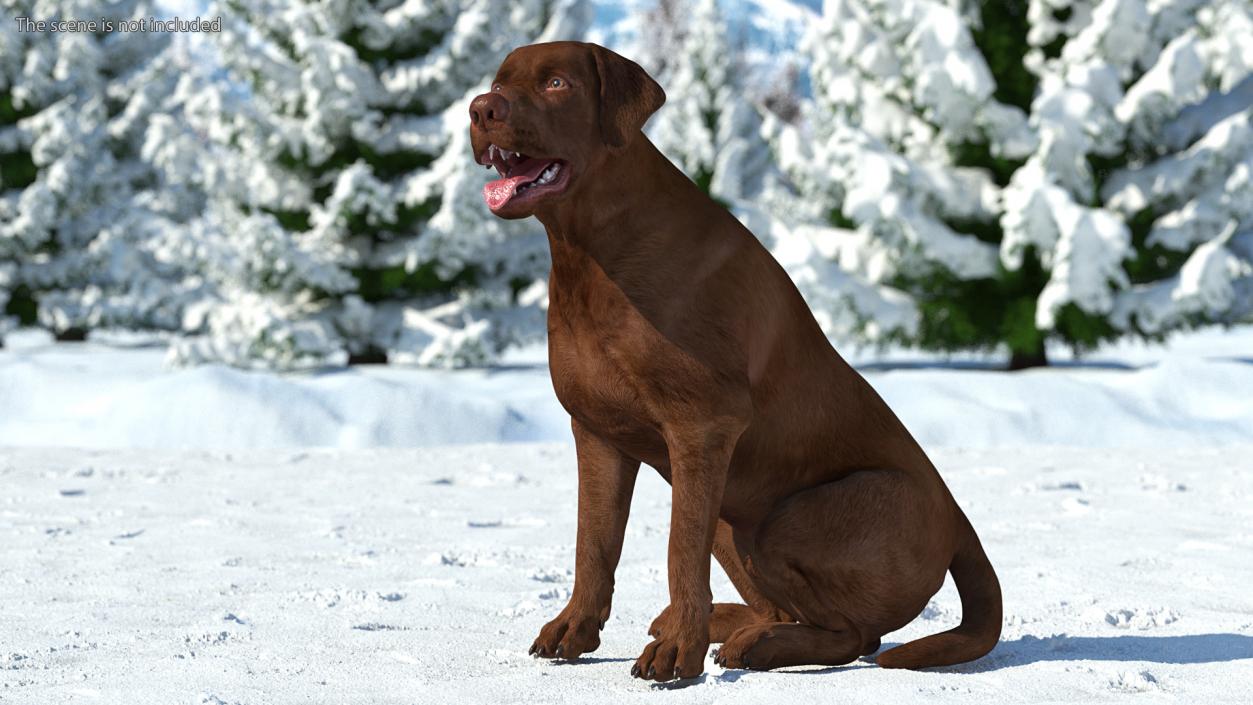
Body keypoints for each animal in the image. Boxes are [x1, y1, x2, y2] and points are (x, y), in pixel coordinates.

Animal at [466, 41, 1002, 681]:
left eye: (555, 83)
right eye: (500, 82)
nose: (480, 109)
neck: (589, 252)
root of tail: (959, 522)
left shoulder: (702, 426)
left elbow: (678, 549)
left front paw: (678, 653)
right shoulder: (597, 433)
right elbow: (592, 543)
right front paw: (576, 628)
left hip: (795, 517)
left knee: (857, 637)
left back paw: (755, 643)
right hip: (734, 516)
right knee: (794, 610)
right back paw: (733, 623)